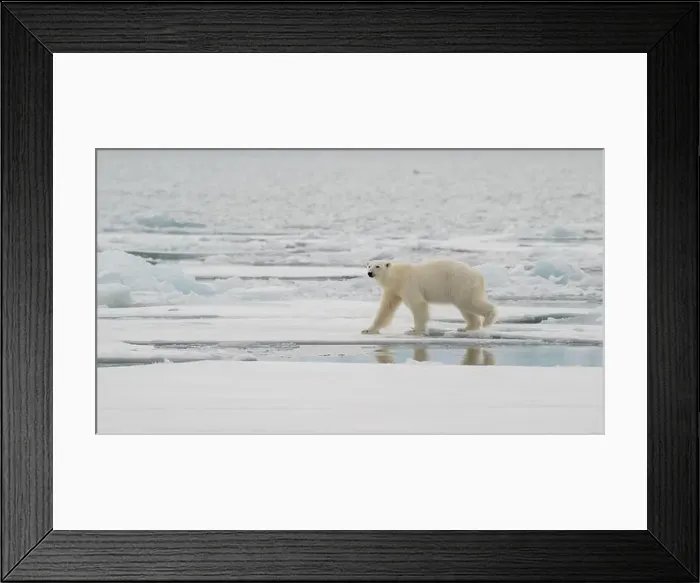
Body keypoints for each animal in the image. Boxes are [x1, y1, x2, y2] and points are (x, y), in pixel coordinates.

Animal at [361, 259, 497, 336]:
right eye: (369, 266)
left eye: (377, 266)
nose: (370, 273)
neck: (397, 277)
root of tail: (478, 274)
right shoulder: (394, 290)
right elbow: (386, 308)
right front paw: (367, 330)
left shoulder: (408, 284)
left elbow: (418, 304)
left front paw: (414, 331)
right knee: (465, 307)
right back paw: (466, 328)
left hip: (461, 284)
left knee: (469, 302)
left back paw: (488, 319)